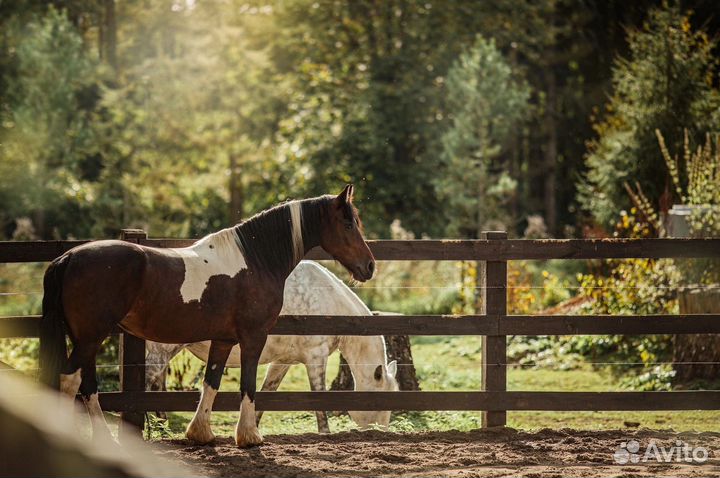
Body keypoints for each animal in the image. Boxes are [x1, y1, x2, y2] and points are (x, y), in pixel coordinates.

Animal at [143, 262, 396, 434]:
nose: (381, 433)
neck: (329, 303)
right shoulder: (316, 358)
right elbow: (318, 399)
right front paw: (325, 433)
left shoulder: (282, 362)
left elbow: (266, 393)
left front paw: (250, 430)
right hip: (162, 350)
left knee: (157, 385)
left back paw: (160, 427)